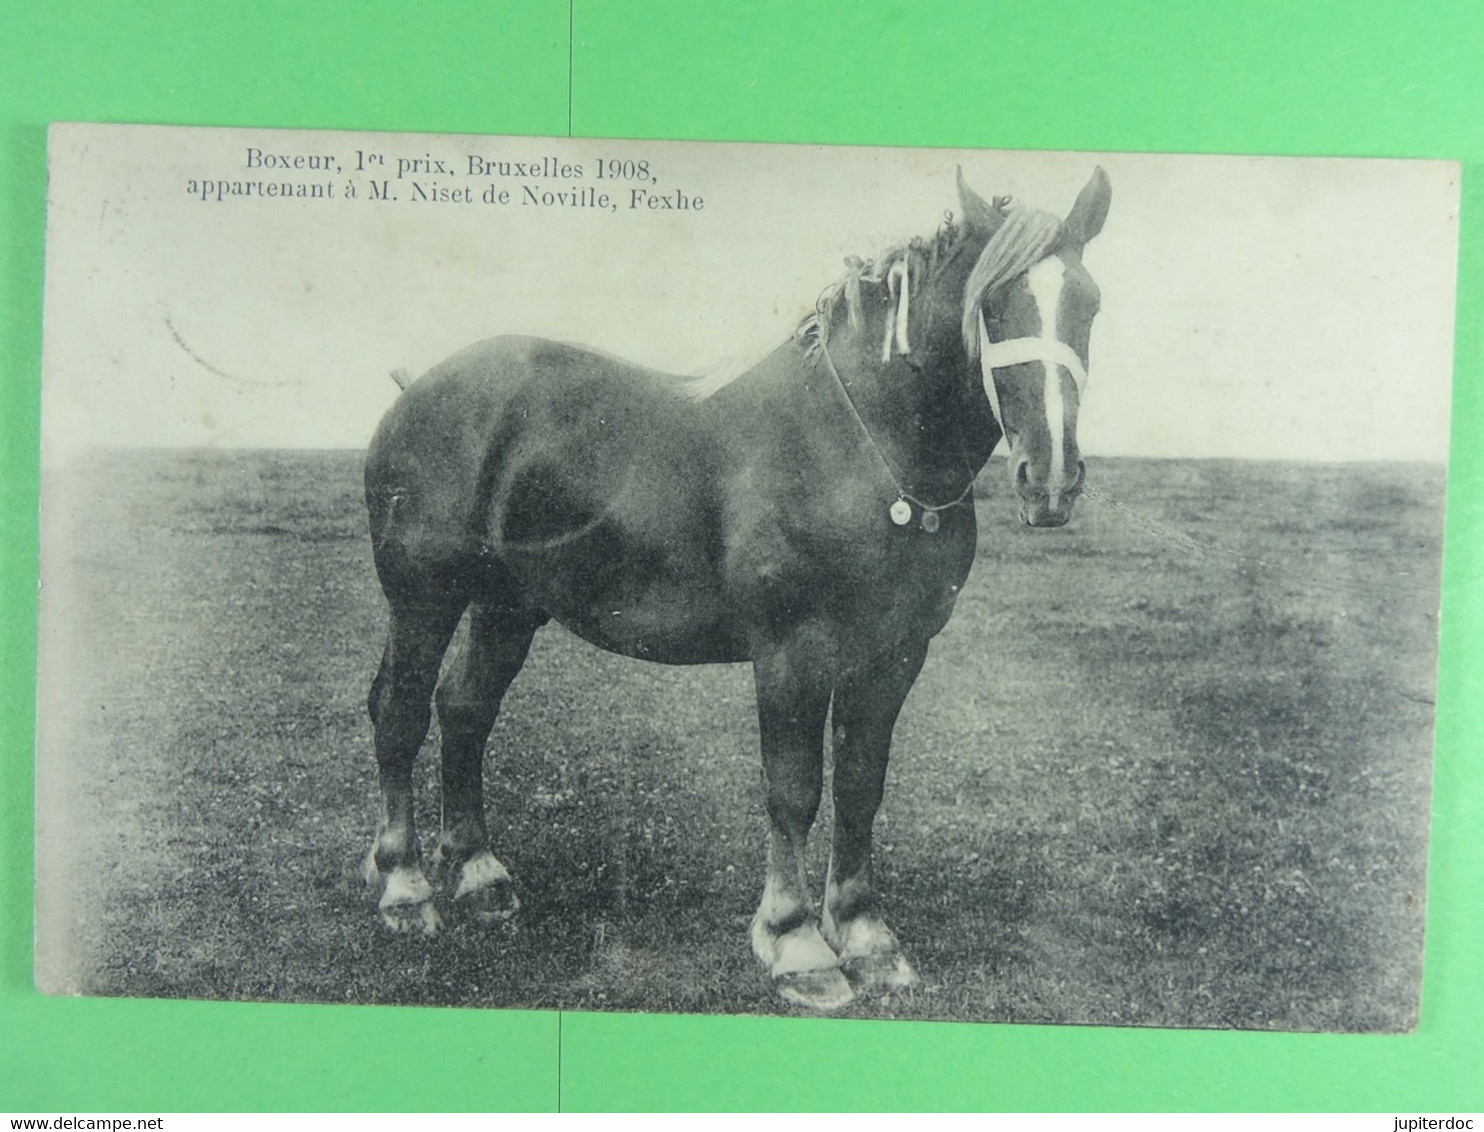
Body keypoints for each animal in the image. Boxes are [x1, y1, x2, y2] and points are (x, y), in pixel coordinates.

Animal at [362, 166, 1115, 1008]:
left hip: (507, 605)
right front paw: (796, 944)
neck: (858, 447)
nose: (1051, 478)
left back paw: (480, 876)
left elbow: (861, 785)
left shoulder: (893, 656)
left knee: (465, 710)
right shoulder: (791, 653)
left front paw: (866, 936)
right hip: (423, 598)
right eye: (993, 302)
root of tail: (419, 389)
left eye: (1088, 303)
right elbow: (794, 789)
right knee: (400, 713)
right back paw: (405, 887)